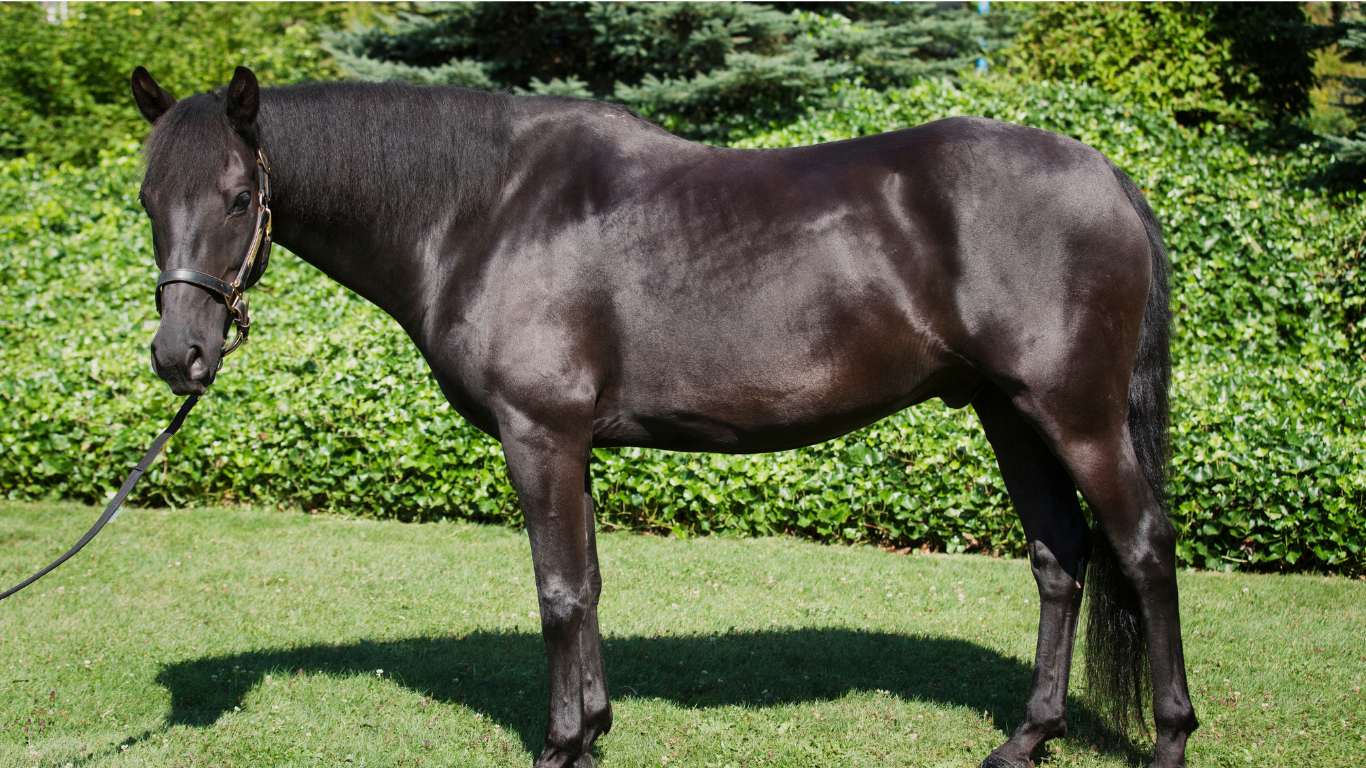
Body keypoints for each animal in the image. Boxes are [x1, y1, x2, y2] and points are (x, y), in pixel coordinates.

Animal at [130, 65, 1197, 768]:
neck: (484, 210)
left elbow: (559, 592)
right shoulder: (575, 445)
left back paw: (1169, 738)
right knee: (1061, 557)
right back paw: (1027, 738)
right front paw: (595, 731)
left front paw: (560, 745)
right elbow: (591, 586)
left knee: (1142, 547)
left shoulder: (540, 435)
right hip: (1009, 414)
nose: (180, 356)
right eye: (146, 198)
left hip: (1077, 415)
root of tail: (1107, 177)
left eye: (239, 197)